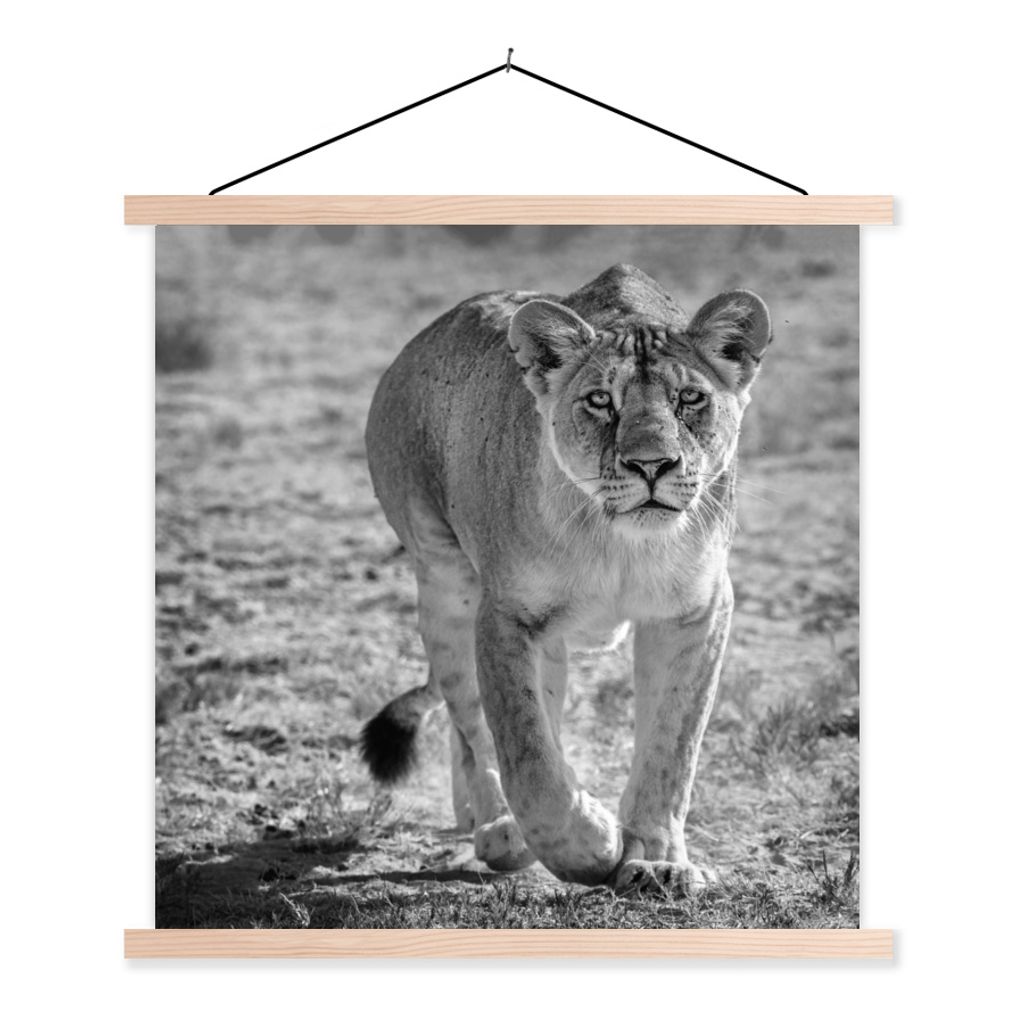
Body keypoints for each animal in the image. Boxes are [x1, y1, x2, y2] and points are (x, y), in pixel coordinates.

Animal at [360, 263, 771, 894]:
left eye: (689, 398)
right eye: (600, 400)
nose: (652, 465)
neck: (621, 542)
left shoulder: (696, 612)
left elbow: (671, 746)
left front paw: (658, 862)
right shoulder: (507, 616)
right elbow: (527, 754)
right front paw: (593, 845)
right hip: (446, 584)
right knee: (473, 725)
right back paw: (498, 827)